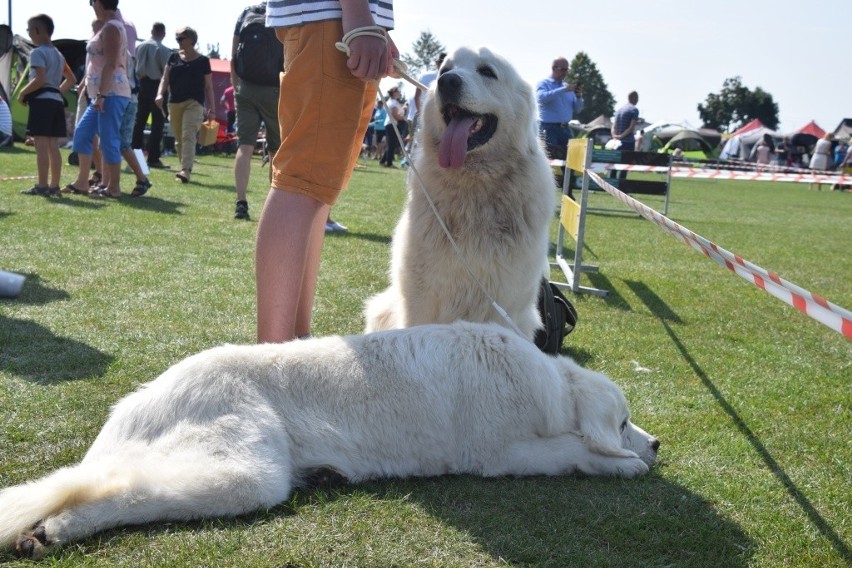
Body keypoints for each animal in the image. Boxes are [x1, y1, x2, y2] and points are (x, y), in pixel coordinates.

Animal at [0, 322, 660, 556]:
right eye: (625, 420)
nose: (658, 446)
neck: (547, 383)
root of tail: (132, 406)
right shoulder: (504, 454)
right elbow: (575, 451)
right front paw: (623, 463)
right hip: (246, 472)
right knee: (121, 489)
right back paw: (55, 529)